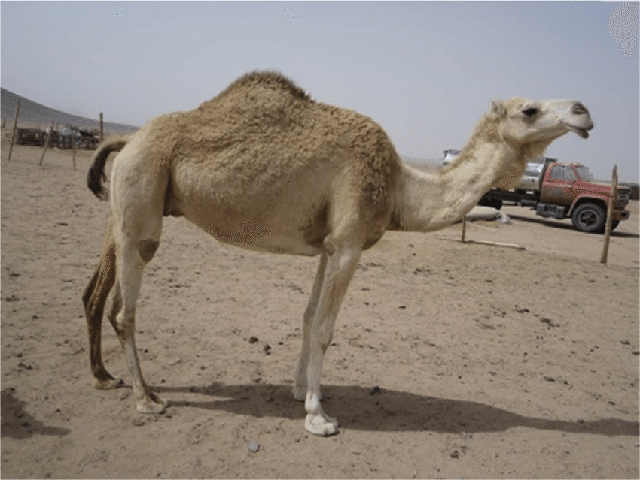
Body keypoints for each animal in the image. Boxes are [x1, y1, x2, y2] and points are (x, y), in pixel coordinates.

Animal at [82, 70, 593, 436]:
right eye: (529, 109)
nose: (584, 110)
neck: (400, 186)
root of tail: (128, 140)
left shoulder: (328, 245)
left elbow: (309, 317)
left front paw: (297, 390)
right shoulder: (349, 244)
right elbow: (327, 328)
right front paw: (318, 416)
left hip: (128, 202)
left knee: (97, 294)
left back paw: (105, 377)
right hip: (143, 201)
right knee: (124, 310)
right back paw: (146, 399)